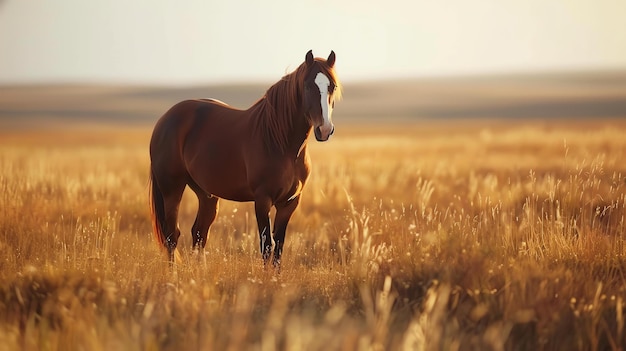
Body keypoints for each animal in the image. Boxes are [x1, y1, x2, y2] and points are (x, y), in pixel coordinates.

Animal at [147, 50, 342, 266]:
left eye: (332, 86)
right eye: (308, 86)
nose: (324, 129)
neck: (282, 143)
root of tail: (165, 119)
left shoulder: (290, 202)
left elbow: (278, 248)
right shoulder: (262, 199)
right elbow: (266, 246)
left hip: (206, 193)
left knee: (199, 233)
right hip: (172, 189)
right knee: (172, 236)